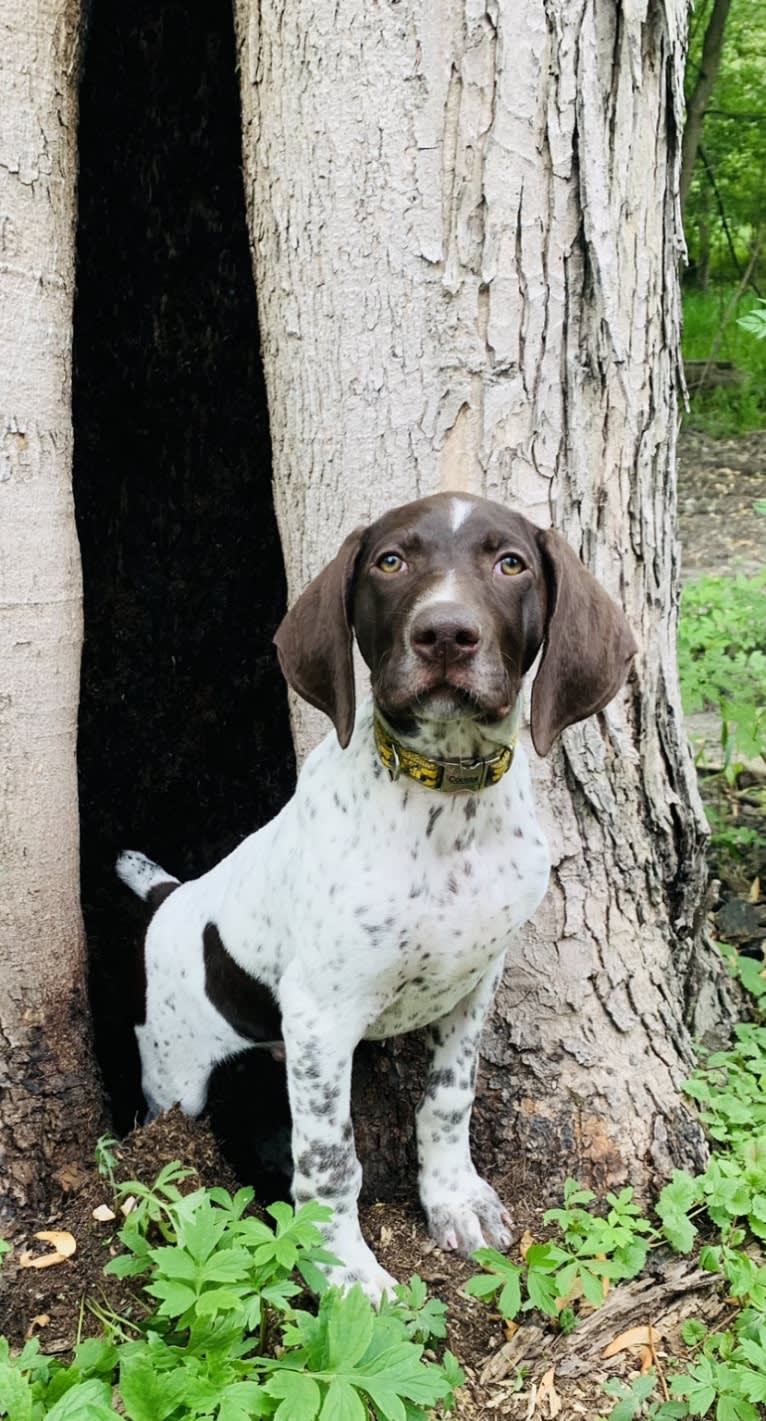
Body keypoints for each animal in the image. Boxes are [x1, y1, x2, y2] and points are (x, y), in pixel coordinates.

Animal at [118, 488, 636, 1301]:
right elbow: (331, 1162)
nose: (446, 633)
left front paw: (454, 1199)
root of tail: (170, 896)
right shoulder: (321, 1016)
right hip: (178, 1074)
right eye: (391, 562)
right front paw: (345, 1272)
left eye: (510, 563)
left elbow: (449, 1098)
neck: (449, 802)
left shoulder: (476, 981)